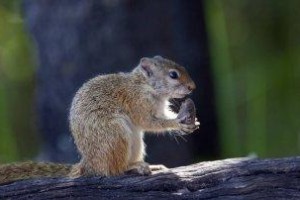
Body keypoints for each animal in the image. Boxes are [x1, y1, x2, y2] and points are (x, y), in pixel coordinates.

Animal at [0, 55, 199, 184]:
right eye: (173, 75)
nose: (192, 87)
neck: (144, 85)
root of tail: (89, 164)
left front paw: (191, 122)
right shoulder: (137, 103)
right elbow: (150, 122)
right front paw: (176, 123)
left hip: (135, 140)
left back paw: (151, 166)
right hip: (116, 134)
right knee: (114, 170)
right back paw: (133, 167)